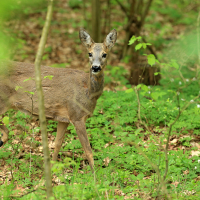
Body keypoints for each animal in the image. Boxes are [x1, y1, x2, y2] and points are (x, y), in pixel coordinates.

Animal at [0, 28, 117, 170]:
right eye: (89, 53)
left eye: (104, 54)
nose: (95, 67)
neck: (88, 91)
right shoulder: (77, 116)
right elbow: (88, 150)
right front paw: (95, 174)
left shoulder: (64, 118)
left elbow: (57, 144)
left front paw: (54, 168)